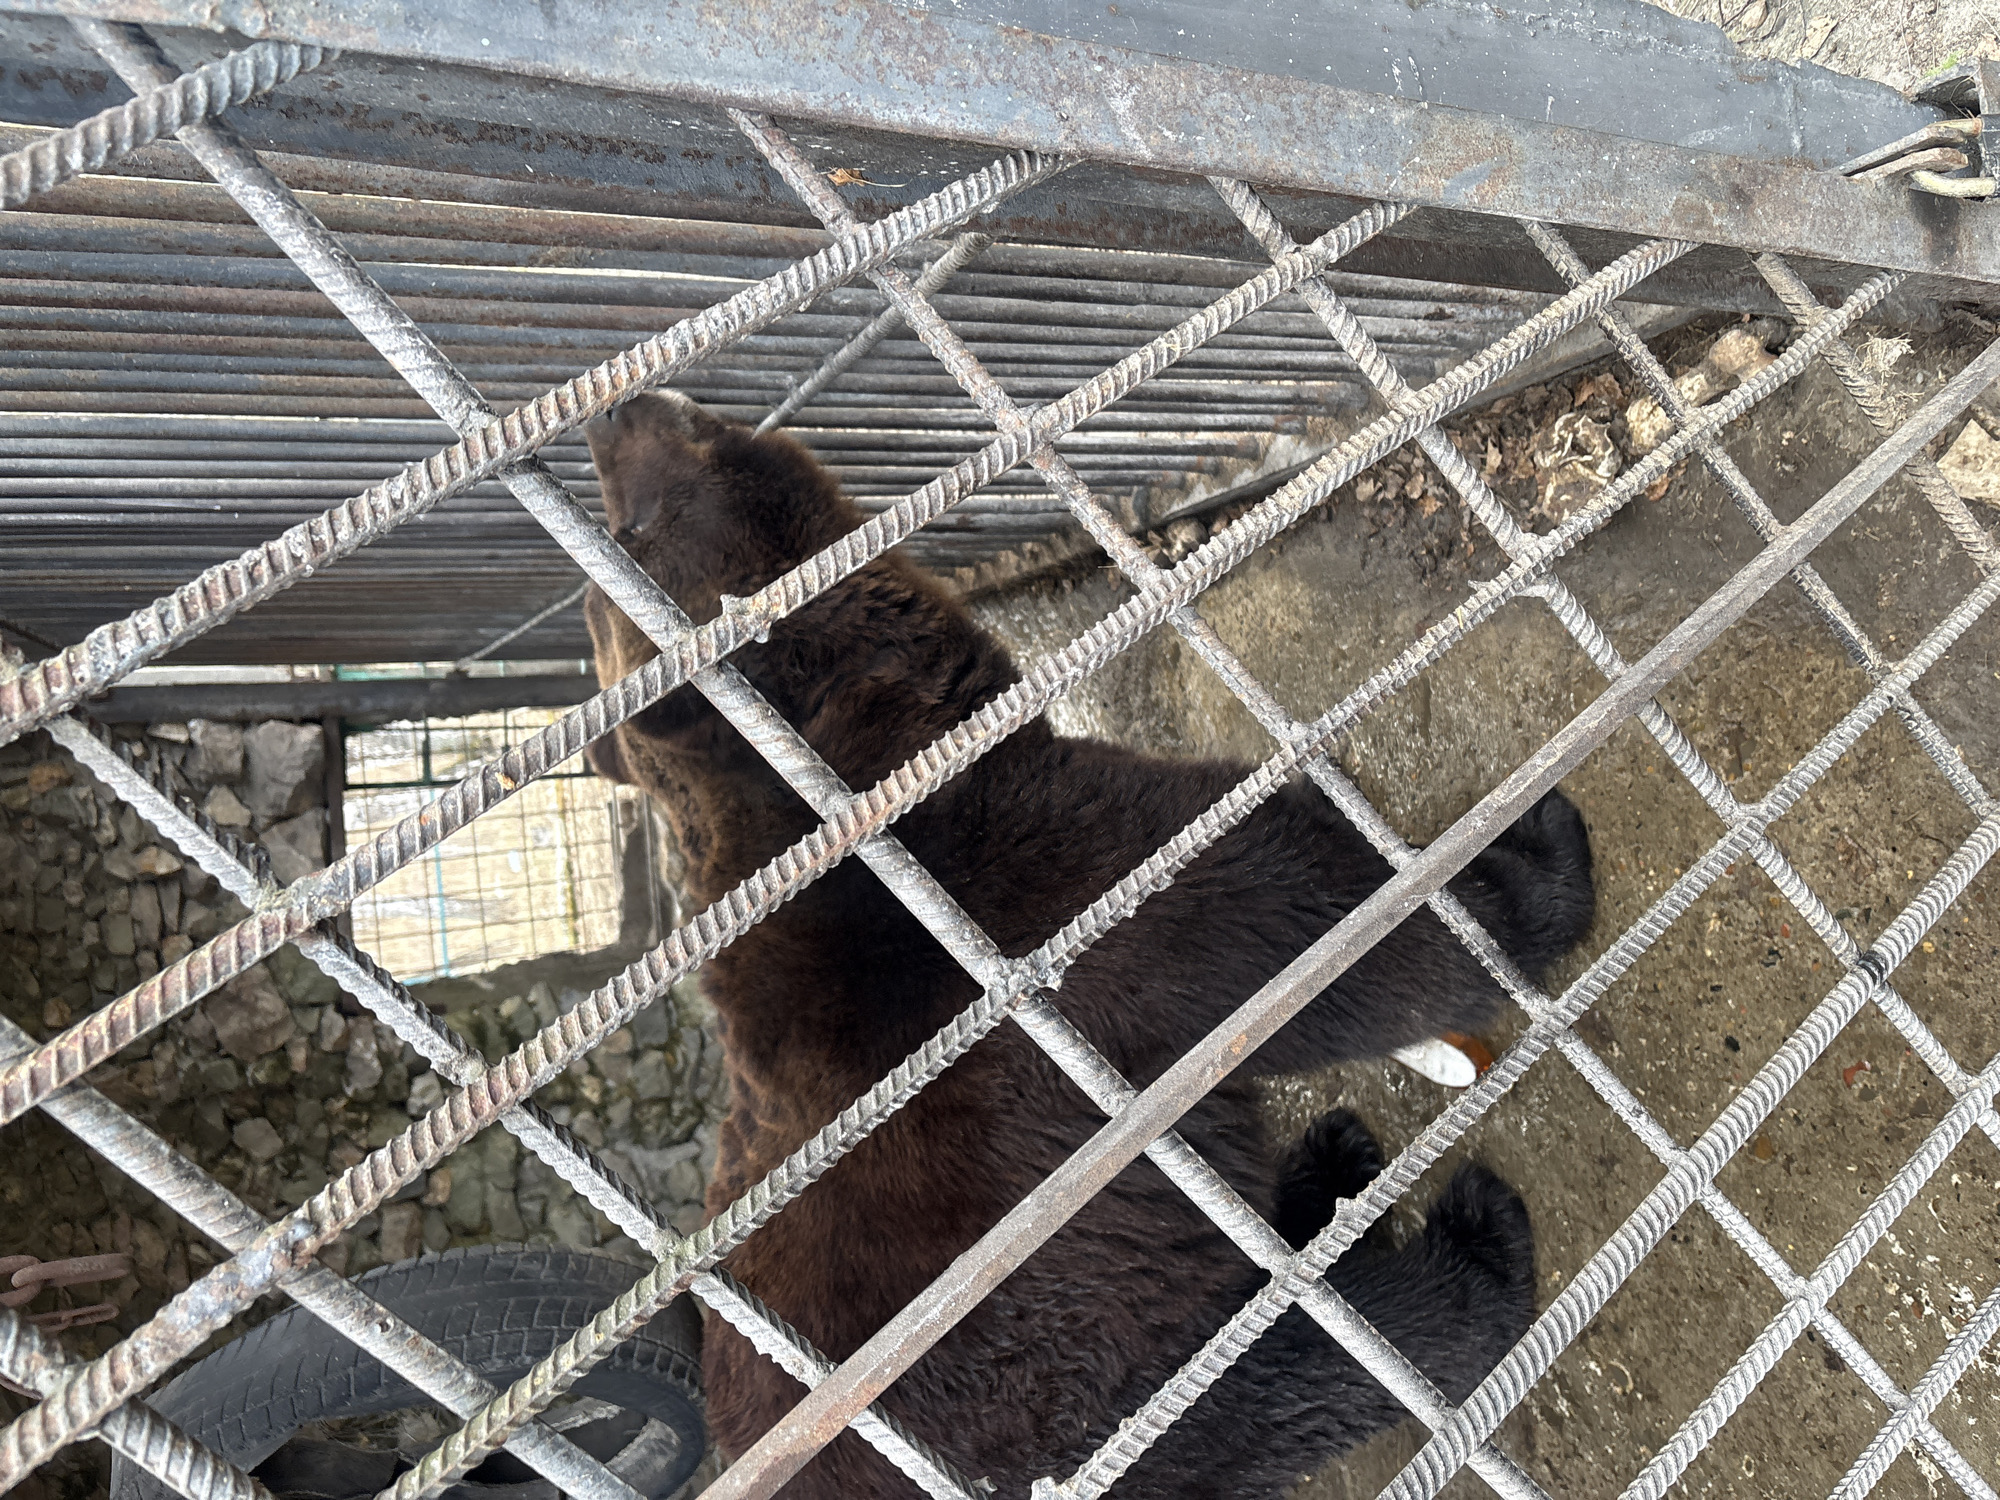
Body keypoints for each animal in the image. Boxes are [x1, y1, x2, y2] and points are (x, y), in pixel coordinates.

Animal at [579, 390, 1596, 1499]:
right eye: (632, 529)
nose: (615, 411)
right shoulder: (1038, 901)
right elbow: (1313, 932)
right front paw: (1536, 852)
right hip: (1059, 1366)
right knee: (1289, 1374)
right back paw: (1467, 1250)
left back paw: (1329, 1165)